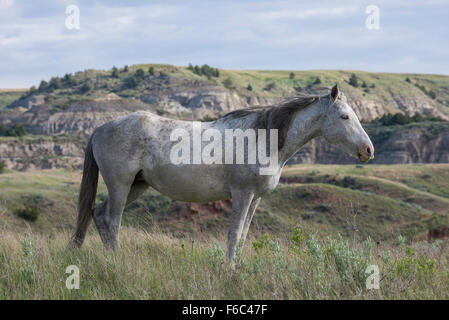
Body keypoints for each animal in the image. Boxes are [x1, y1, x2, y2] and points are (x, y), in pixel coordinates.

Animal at [70, 85, 372, 262]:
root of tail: (100, 128)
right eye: (344, 116)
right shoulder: (242, 194)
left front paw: (238, 266)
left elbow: (245, 234)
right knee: (112, 221)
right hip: (121, 185)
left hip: (136, 185)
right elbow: (234, 234)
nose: (368, 150)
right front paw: (230, 270)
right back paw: (118, 260)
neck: (264, 138)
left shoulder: (256, 198)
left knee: (99, 214)